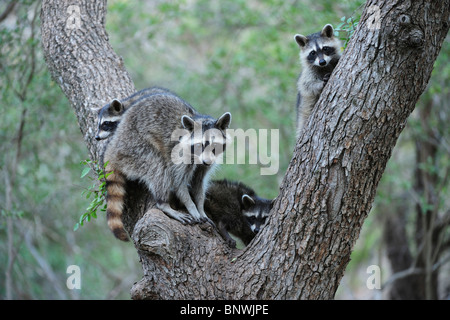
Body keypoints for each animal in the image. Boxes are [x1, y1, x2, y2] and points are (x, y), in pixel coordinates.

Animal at [103, 92, 232, 240]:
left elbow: (198, 183)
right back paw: (164, 204)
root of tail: (114, 145)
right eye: (199, 145)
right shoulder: (180, 153)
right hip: (134, 147)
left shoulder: (205, 162)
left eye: (214, 145)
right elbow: (178, 182)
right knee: (158, 168)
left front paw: (200, 208)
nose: (206, 161)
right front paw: (192, 207)